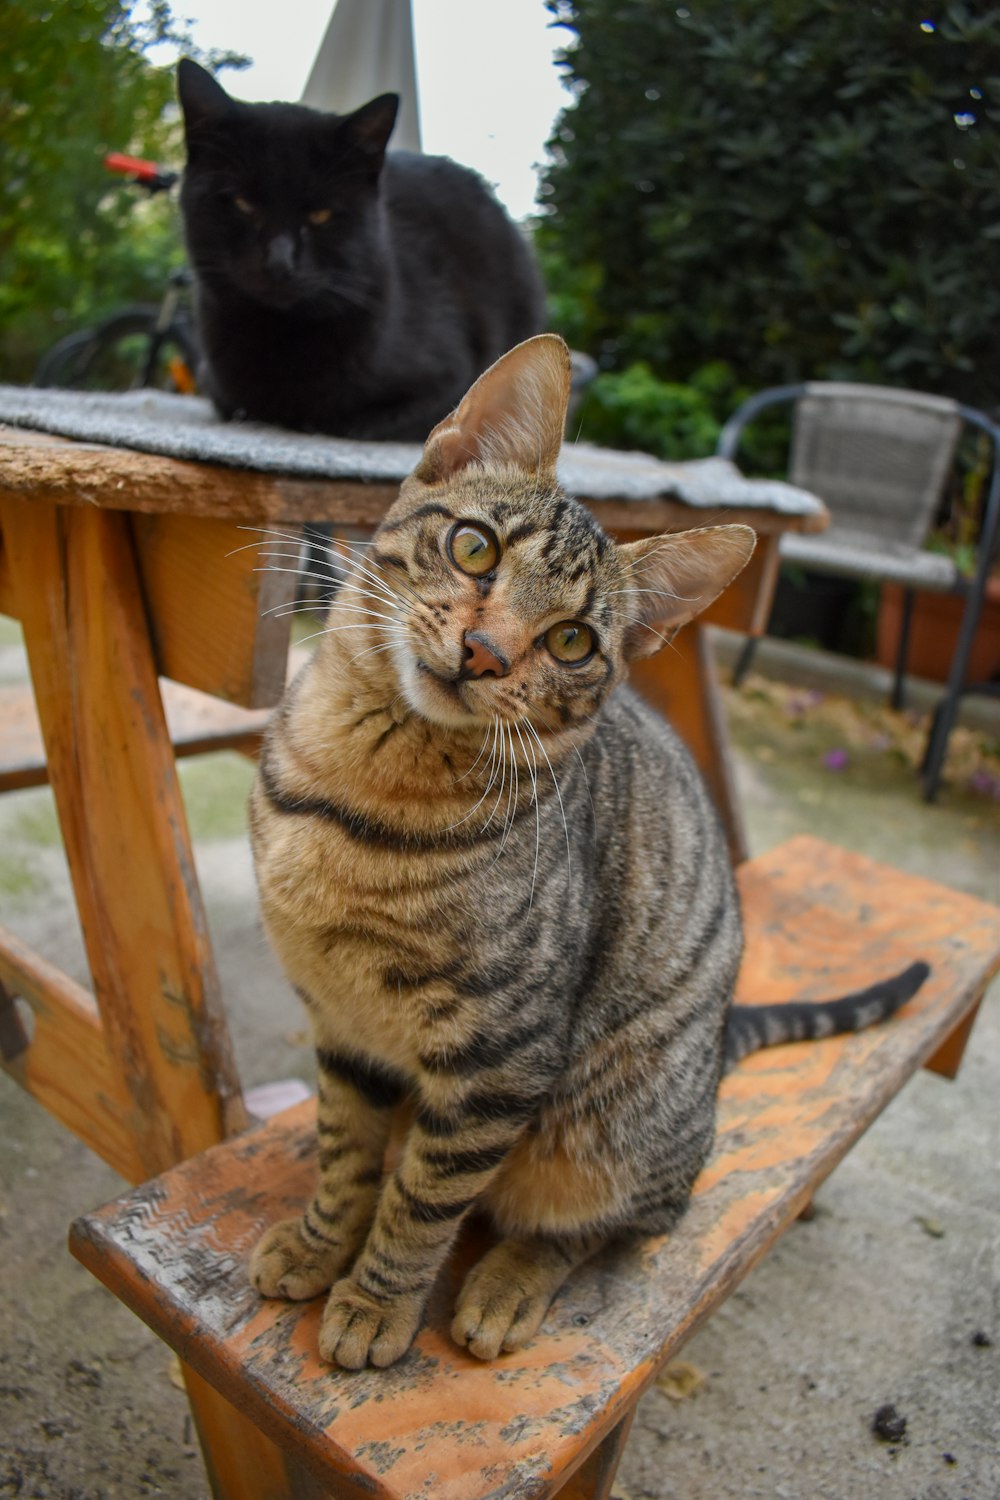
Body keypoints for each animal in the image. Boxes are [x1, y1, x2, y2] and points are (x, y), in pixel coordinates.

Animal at [173, 61, 548, 438]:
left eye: (321, 214)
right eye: (242, 203)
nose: (279, 262)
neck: (276, 338)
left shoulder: (451, 379)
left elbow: (345, 421)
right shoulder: (213, 381)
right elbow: (233, 404)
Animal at [250, 334, 929, 1368]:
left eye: (572, 641)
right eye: (475, 546)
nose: (485, 653)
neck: (354, 788)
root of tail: (714, 1051)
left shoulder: (499, 1053)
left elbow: (422, 1199)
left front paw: (376, 1301)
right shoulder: (344, 1026)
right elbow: (345, 1152)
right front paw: (321, 1242)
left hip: (610, 1129)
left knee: (620, 1221)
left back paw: (509, 1284)